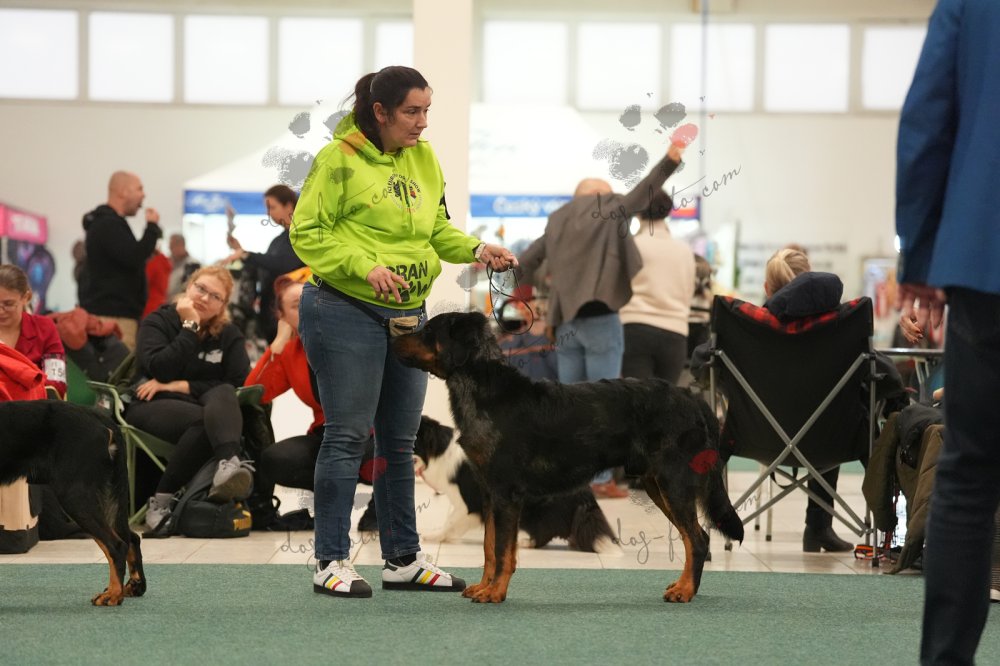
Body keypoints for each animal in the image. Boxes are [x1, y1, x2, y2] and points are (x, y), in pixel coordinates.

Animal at [0, 401, 146, 606]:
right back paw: (134, 586)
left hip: (75, 495)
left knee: (116, 545)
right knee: (131, 537)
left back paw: (113, 594)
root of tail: (97, 416)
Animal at [357, 416, 619, 554]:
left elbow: (451, 520)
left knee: (544, 528)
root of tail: (584, 489)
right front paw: (448, 537)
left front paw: (436, 536)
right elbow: (451, 519)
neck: (438, 450)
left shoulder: (468, 502)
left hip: (533, 507)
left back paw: (527, 542)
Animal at [393, 311, 744, 604]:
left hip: (675, 482)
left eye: (429, 331)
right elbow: (490, 547)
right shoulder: (489, 493)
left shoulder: (506, 494)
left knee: (697, 539)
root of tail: (692, 398)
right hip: (657, 485)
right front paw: (483, 586)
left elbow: (504, 550)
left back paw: (685, 591)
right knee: (693, 537)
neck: (483, 392)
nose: (392, 335)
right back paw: (683, 586)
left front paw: (495, 593)